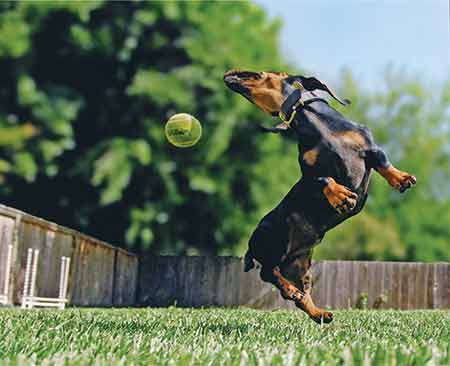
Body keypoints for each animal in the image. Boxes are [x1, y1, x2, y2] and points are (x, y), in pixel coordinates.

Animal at [223, 71, 416, 324]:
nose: (229, 76)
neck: (319, 128)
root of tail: (251, 245)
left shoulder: (369, 147)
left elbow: (383, 161)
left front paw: (400, 178)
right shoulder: (309, 174)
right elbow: (324, 179)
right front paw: (340, 197)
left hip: (300, 265)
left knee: (299, 292)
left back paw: (318, 312)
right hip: (277, 239)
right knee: (268, 272)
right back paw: (292, 291)